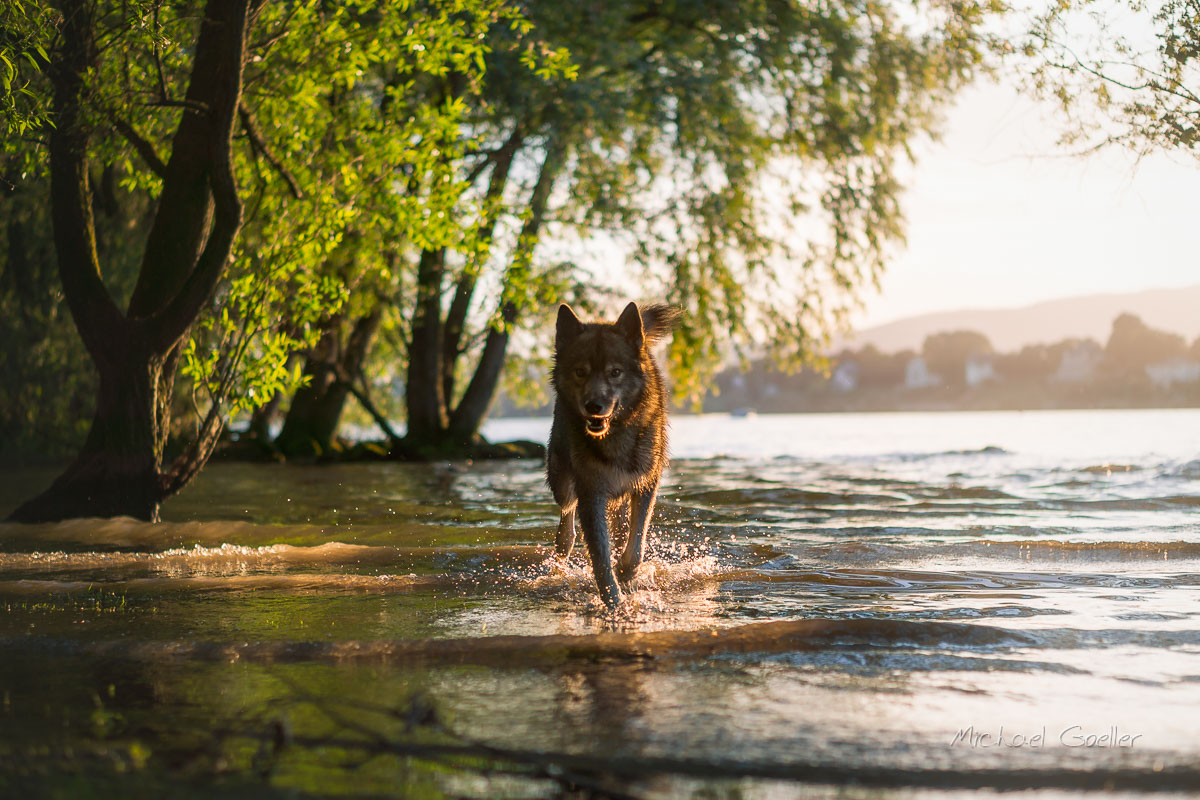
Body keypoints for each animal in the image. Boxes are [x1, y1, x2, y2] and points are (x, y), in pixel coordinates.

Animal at [549, 299, 681, 606]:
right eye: (580, 372)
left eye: (615, 372)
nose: (593, 405)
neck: (616, 435)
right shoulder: (591, 492)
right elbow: (600, 556)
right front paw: (613, 600)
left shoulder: (646, 484)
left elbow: (636, 546)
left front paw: (626, 574)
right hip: (561, 483)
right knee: (567, 520)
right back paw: (561, 554)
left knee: (621, 528)